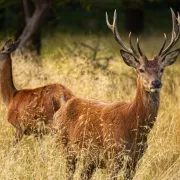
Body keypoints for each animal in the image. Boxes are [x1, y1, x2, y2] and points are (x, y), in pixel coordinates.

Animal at [54, 8, 180, 180]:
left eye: (162, 69)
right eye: (141, 69)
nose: (155, 83)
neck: (134, 128)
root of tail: (61, 107)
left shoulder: (135, 160)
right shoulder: (113, 156)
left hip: (89, 159)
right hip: (65, 147)